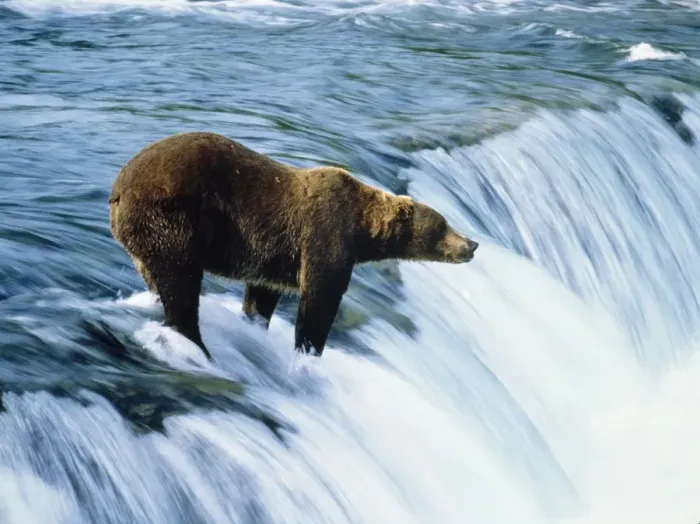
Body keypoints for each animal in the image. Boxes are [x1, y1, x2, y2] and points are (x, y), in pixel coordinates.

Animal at [109, 131, 478, 360]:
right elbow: (320, 298)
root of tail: (118, 187)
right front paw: (308, 350)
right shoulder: (325, 233)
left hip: (144, 238)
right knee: (180, 281)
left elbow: (262, 294)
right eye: (443, 225)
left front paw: (256, 325)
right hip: (173, 218)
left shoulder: (271, 255)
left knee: (158, 276)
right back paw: (196, 344)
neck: (362, 230)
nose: (472, 244)